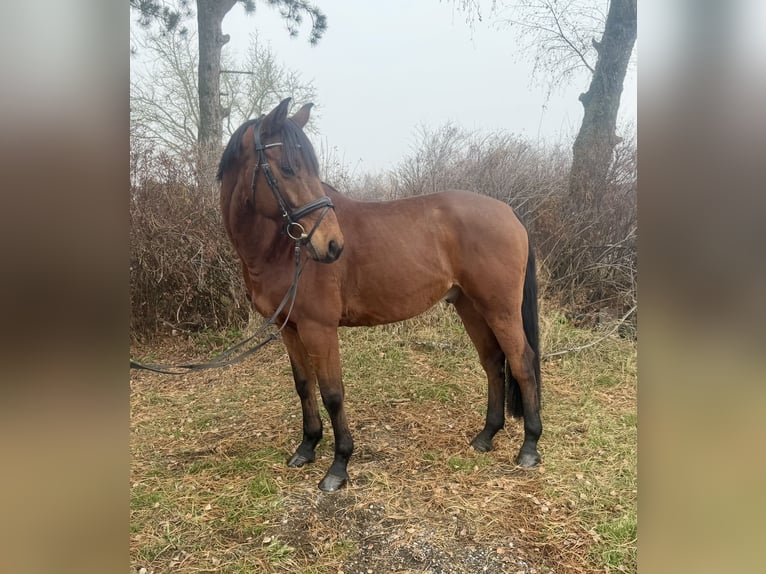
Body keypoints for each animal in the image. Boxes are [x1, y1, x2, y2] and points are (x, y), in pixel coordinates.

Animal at [218, 98, 542, 491]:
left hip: (500, 309)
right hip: (470, 306)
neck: (281, 250)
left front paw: (338, 466)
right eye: (288, 168)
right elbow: (304, 386)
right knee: (494, 363)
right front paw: (307, 448)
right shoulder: (289, 328)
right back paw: (486, 437)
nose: (332, 245)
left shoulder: (318, 329)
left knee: (523, 363)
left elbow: (333, 394)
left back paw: (529, 447)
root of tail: (510, 212)